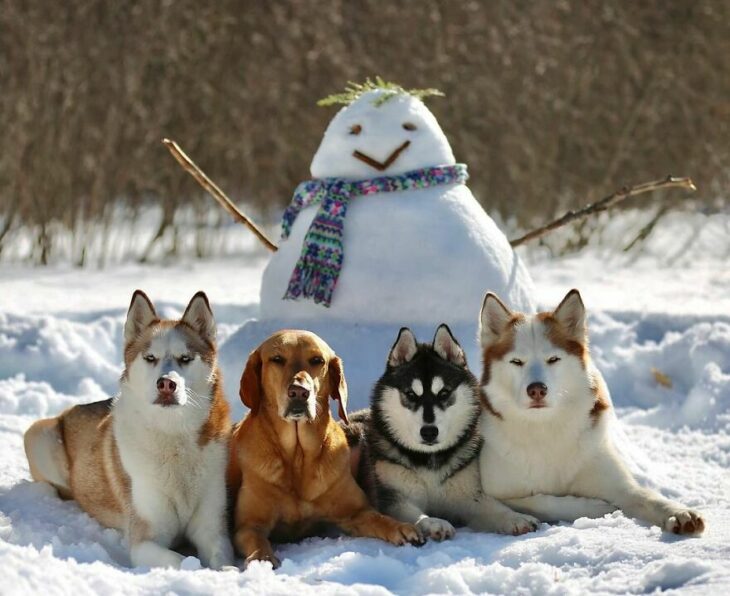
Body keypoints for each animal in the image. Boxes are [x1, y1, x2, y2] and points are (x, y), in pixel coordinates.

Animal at [23, 292, 233, 572]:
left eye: (185, 358)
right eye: (150, 358)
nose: (166, 384)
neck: (172, 434)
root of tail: (68, 411)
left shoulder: (213, 529)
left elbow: (221, 555)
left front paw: (229, 571)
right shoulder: (144, 541)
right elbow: (180, 561)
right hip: (39, 435)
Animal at [228, 330, 420, 568]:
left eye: (317, 360)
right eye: (277, 359)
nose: (299, 392)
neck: (298, 456)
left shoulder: (356, 511)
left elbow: (379, 518)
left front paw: (401, 527)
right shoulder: (248, 526)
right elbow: (257, 540)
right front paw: (263, 559)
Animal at [346, 326, 540, 540]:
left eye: (444, 393)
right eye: (411, 395)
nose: (429, 432)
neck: (429, 460)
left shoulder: (468, 494)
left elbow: (494, 508)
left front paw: (516, 518)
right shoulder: (394, 498)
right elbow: (414, 514)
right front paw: (433, 523)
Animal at [474, 288, 704, 536]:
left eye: (553, 359)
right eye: (516, 361)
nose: (536, 389)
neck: (545, 427)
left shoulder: (618, 483)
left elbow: (646, 496)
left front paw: (678, 512)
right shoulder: (493, 492)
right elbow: (540, 500)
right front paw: (594, 507)